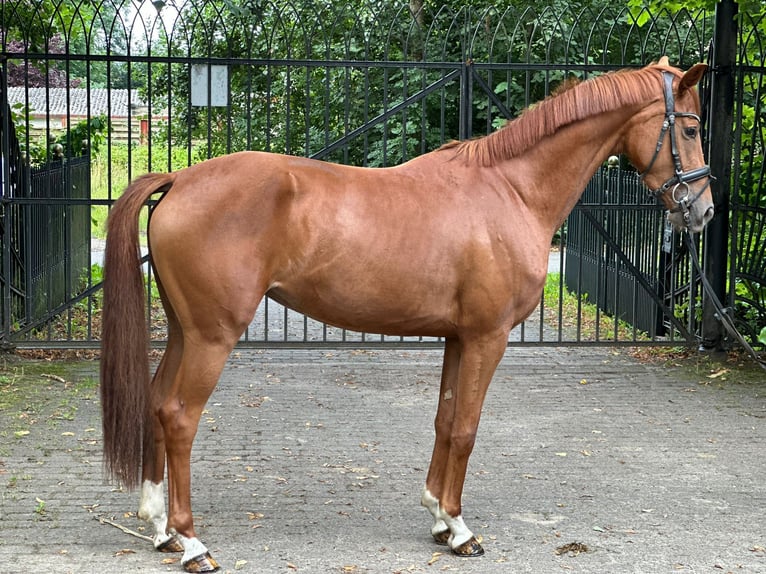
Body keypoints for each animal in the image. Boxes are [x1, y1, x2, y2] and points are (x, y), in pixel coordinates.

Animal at [100, 59, 712, 574]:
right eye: (689, 129)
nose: (702, 211)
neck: (511, 190)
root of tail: (180, 180)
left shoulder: (458, 338)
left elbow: (445, 420)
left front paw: (439, 517)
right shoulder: (488, 337)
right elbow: (466, 428)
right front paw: (462, 530)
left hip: (185, 333)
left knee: (157, 403)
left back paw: (161, 528)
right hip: (212, 337)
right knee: (180, 417)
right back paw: (192, 542)